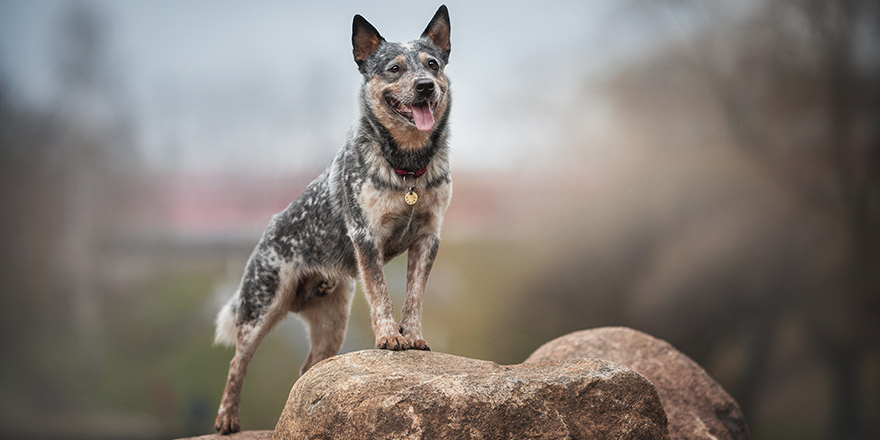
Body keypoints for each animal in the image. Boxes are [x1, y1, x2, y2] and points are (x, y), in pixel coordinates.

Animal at [213, 5, 454, 434]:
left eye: (432, 64)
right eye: (394, 68)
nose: (426, 86)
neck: (408, 165)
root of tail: (266, 231)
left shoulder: (428, 238)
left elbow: (414, 296)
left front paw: (413, 336)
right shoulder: (366, 235)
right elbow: (381, 295)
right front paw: (390, 338)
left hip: (331, 324)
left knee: (309, 370)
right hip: (260, 307)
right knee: (237, 362)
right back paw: (227, 418)